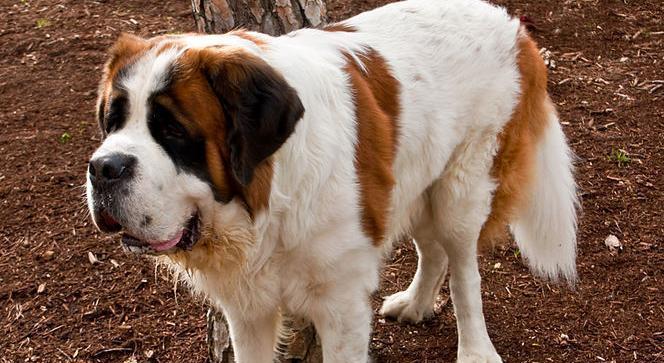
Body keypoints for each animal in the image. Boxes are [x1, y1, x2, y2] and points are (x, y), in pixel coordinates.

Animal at [87, 0, 576, 362]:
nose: (103, 167)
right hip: (412, 181)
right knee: (433, 250)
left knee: (464, 272)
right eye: (111, 121)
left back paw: (475, 350)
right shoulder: (248, 310)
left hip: (463, 185)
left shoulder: (341, 304)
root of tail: (512, 25)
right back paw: (416, 304)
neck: (267, 202)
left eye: (172, 129)